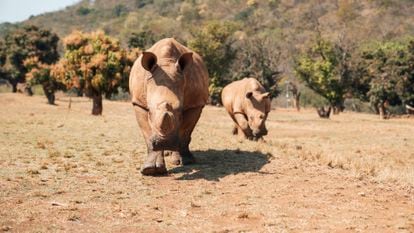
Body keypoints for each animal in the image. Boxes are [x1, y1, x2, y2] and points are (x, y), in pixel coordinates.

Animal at [129, 38, 209, 176]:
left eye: (181, 111)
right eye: (149, 111)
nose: (164, 142)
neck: (166, 62)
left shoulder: (195, 104)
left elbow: (185, 132)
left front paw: (186, 162)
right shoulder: (138, 103)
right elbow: (148, 133)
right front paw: (150, 169)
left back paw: (176, 159)